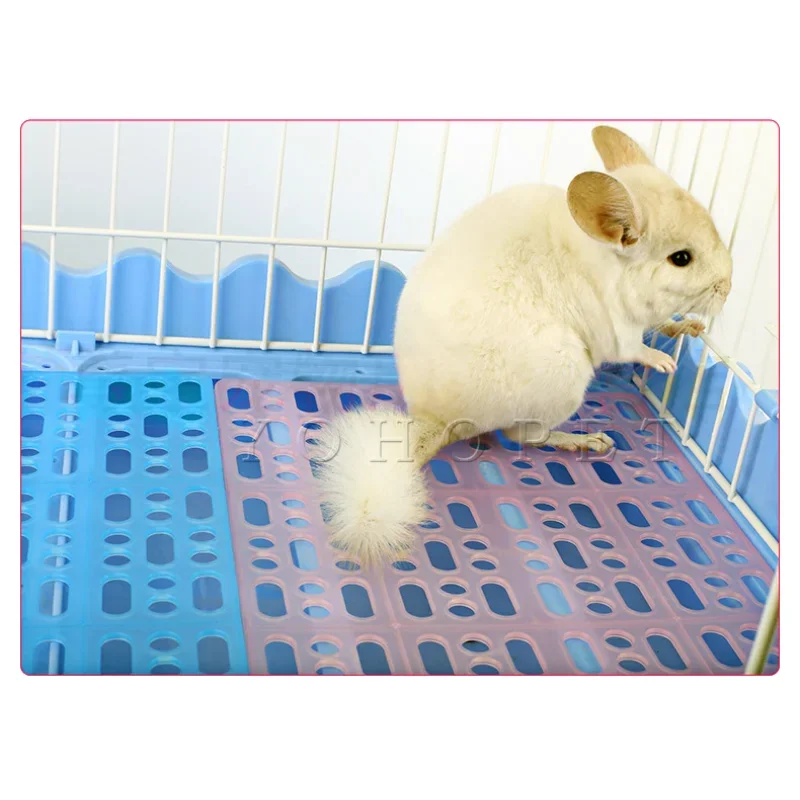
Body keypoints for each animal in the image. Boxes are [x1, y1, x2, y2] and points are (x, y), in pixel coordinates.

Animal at [314, 125, 732, 565]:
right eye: (681, 258)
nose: (729, 286)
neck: (605, 258)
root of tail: (434, 417)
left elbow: (663, 323)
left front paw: (688, 327)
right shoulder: (617, 328)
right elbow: (633, 349)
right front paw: (664, 362)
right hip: (565, 378)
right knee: (523, 436)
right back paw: (586, 440)